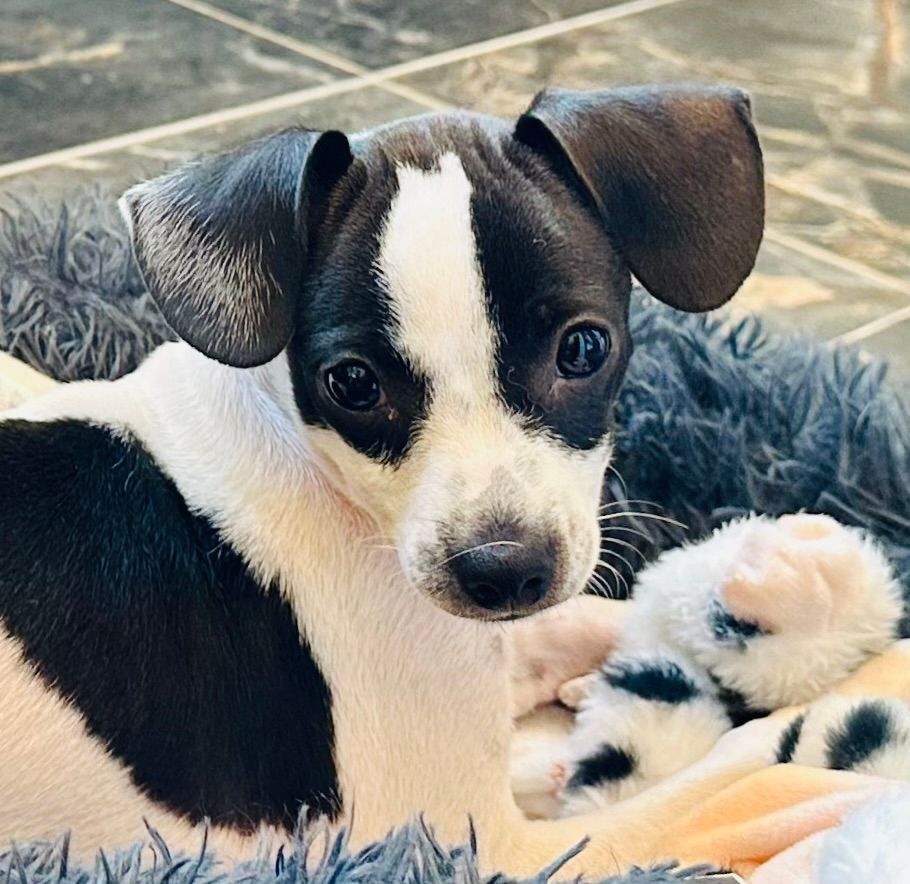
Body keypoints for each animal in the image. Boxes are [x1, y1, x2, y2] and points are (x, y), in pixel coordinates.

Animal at [0, 86, 768, 872]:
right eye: (353, 384)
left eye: (583, 348)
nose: (504, 572)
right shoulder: (479, 845)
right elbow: (730, 773)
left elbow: (592, 615)